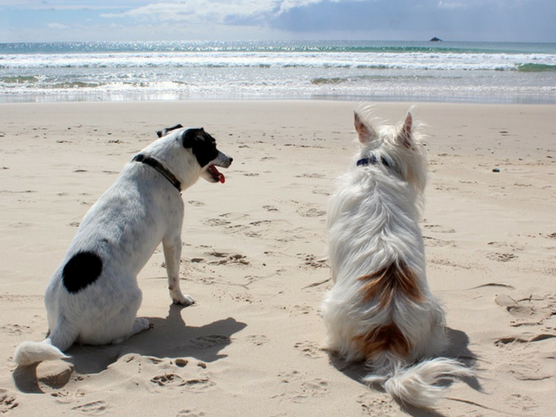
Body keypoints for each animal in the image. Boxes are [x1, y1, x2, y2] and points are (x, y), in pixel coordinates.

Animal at [15, 124, 232, 364]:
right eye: (212, 145)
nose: (231, 159)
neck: (160, 166)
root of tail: (65, 321)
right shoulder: (173, 239)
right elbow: (174, 278)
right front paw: (181, 299)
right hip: (134, 297)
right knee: (117, 336)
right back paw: (140, 323)